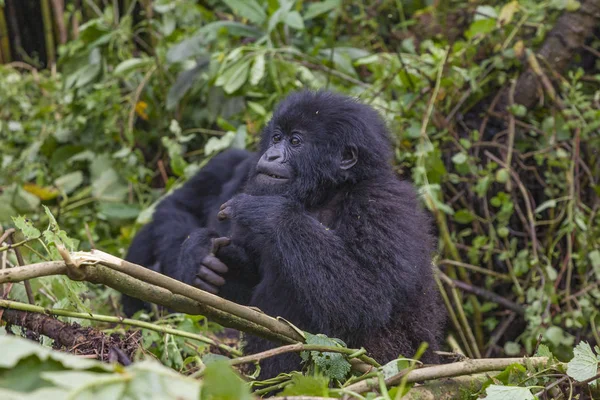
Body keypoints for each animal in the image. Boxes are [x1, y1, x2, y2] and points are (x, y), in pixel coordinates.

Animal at [122, 90, 442, 378]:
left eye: (295, 141)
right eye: (277, 137)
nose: (271, 154)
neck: (329, 192)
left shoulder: (382, 203)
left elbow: (367, 301)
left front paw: (269, 212)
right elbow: (246, 301)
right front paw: (200, 256)